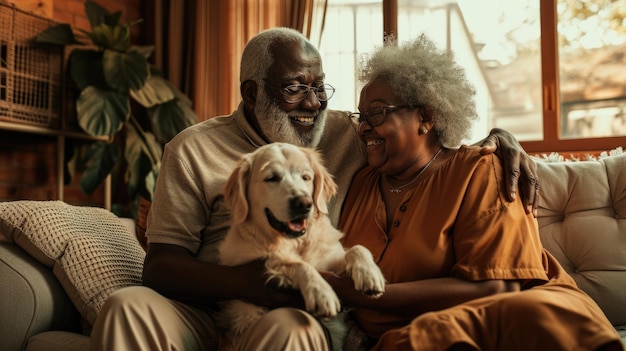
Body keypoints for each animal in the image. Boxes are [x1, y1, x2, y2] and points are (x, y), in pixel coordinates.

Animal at [216, 142, 386, 342]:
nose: (304, 203)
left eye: (306, 177)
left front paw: (369, 274)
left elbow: (357, 248)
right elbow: (296, 264)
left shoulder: (331, 262)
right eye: (271, 178)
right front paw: (320, 292)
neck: (297, 242)